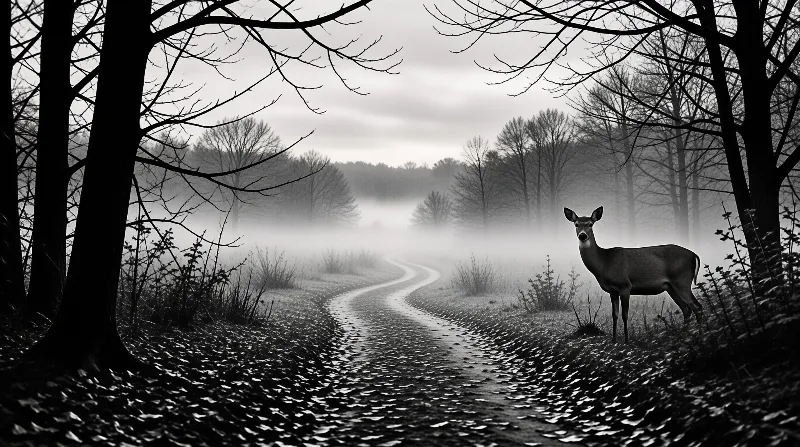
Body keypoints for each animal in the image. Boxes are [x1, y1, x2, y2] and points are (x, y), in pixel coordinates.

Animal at [564, 206, 702, 343]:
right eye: (576, 224)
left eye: (590, 224)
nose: (582, 235)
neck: (604, 263)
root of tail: (694, 255)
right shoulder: (612, 290)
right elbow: (614, 314)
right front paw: (614, 340)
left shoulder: (625, 285)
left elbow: (625, 314)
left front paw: (626, 340)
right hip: (671, 286)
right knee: (686, 309)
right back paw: (684, 335)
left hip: (682, 280)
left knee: (697, 307)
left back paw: (700, 336)